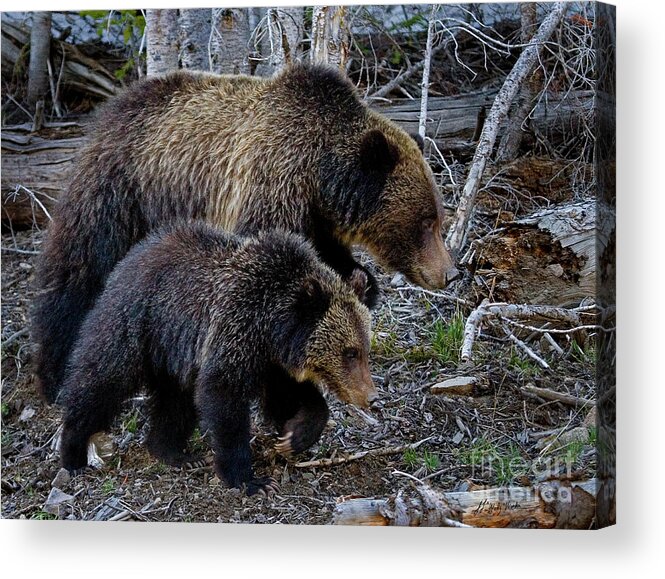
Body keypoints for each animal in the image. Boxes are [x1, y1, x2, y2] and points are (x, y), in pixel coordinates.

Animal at [31, 62, 456, 404]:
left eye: (438, 216)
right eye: (426, 222)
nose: (450, 273)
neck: (318, 176)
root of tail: (113, 107)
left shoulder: (315, 221)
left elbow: (331, 265)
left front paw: (362, 284)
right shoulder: (270, 187)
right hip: (123, 189)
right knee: (78, 268)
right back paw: (56, 372)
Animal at [59, 224, 376, 496]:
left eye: (364, 347)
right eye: (349, 352)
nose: (371, 397)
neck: (272, 325)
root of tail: (128, 258)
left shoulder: (270, 361)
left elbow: (288, 396)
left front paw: (293, 436)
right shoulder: (236, 330)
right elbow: (224, 397)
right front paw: (251, 480)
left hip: (175, 354)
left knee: (176, 402)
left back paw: (174, 452)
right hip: (136, 325)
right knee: (102, 381)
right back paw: (73, 452)